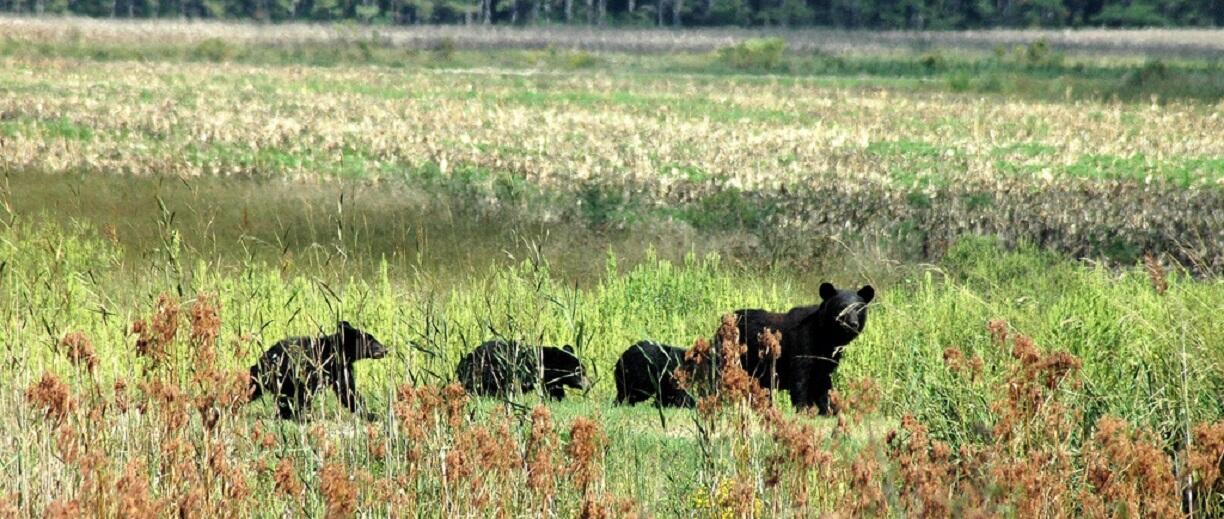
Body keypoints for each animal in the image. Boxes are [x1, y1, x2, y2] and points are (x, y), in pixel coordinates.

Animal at [248, 321, 388, 420]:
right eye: (371, 340)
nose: (385, 349)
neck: (334, 353)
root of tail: (264, 357)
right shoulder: (313, 367)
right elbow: (307, 391)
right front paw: (304, 415)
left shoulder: (340, 369)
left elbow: (348, 390)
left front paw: (369, 414)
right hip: (280, 375)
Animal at [723, 282, 874, 415]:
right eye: (842, 307)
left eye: (859, 309)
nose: (853, 324)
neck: (825, 337)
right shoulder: (802, 345)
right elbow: (800, 378)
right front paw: (803, 409)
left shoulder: (827, 358)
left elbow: (823, 383)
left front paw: (829, 409)